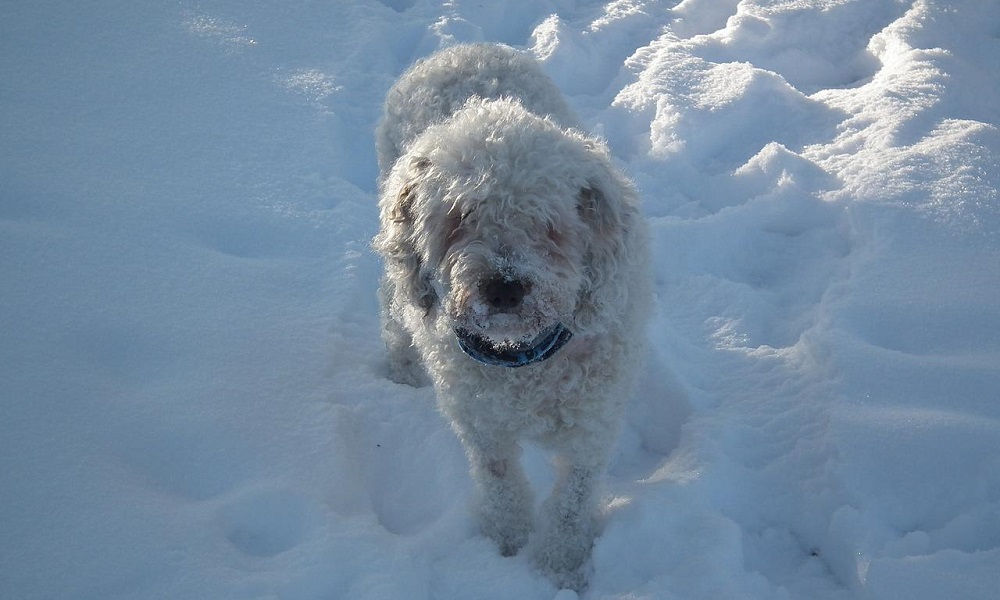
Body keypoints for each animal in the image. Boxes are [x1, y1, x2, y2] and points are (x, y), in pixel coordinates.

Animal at [374, 43, 648, 592]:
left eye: (548, 224)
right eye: (459, 217)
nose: (503, 286)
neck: (521, 360)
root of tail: (461, 49)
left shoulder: (593, 426)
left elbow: (571, 502)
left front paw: (560, 567)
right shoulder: (481, 423)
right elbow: (499, 482)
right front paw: (507, 545)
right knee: (393, 304)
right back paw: (401, 367)